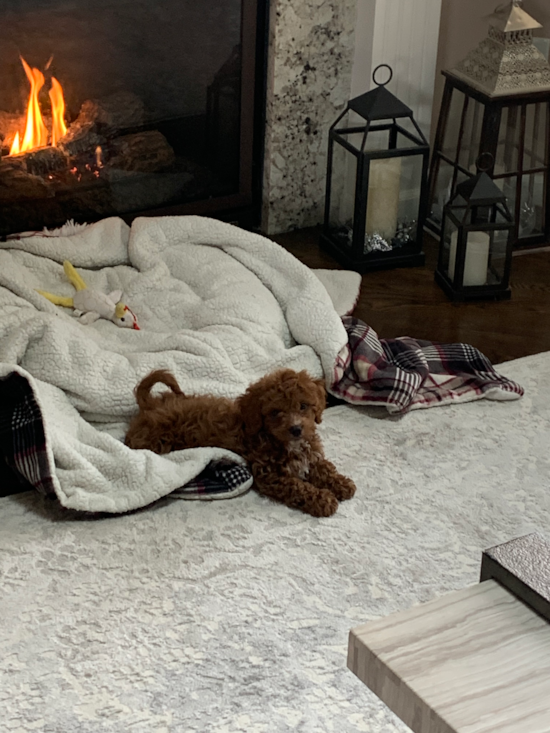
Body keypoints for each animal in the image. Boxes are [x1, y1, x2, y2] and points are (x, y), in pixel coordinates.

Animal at [125, 366, 358, 516]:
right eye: (275, 413)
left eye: (303, 406)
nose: (296, 429)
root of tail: (151, 405)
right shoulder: (270, 474)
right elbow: (298, 486)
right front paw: (323, 499)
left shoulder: (310, 454)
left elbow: (324, 467)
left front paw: (341, 483)